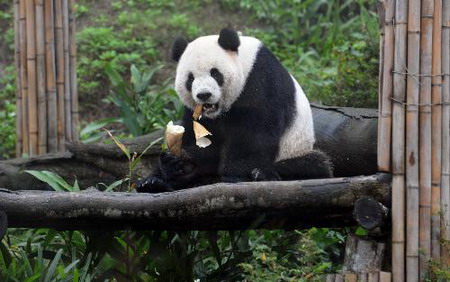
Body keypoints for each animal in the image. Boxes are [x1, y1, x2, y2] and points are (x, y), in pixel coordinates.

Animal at [135, 27, 332, 193]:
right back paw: (152, 182)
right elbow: (199, 138)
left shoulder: (261, 82)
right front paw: (176, 164)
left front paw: (233, 176)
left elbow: (253, 136)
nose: (204, 95)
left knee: (313, 165)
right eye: (190, 78)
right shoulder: (195, 112)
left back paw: (262, 174)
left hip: (296, 148)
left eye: (215, 73)